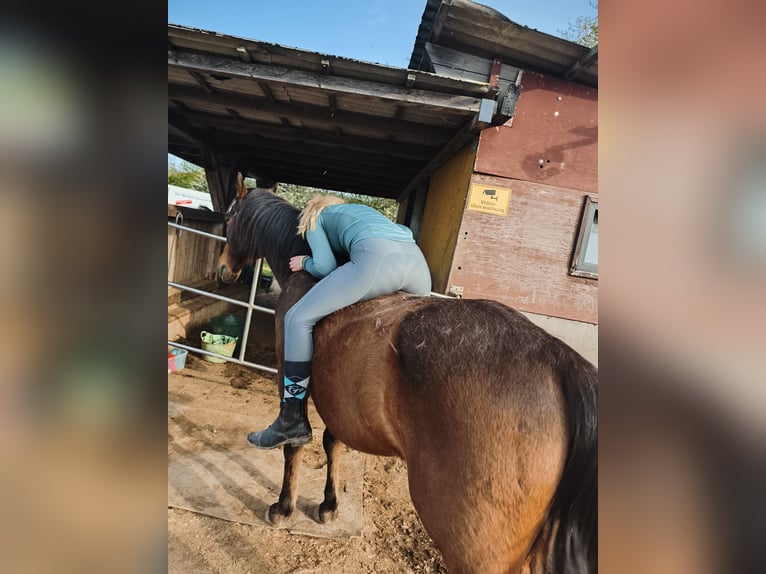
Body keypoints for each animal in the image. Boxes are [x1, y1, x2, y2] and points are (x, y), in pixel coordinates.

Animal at [218, 176, 597, 574]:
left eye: (228, 217)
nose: (224, 269)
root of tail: (559, 362)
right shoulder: (340, 398)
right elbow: (332, 443)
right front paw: (328, 505)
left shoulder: (288, 372)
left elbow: (294, 442)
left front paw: (284, 507)